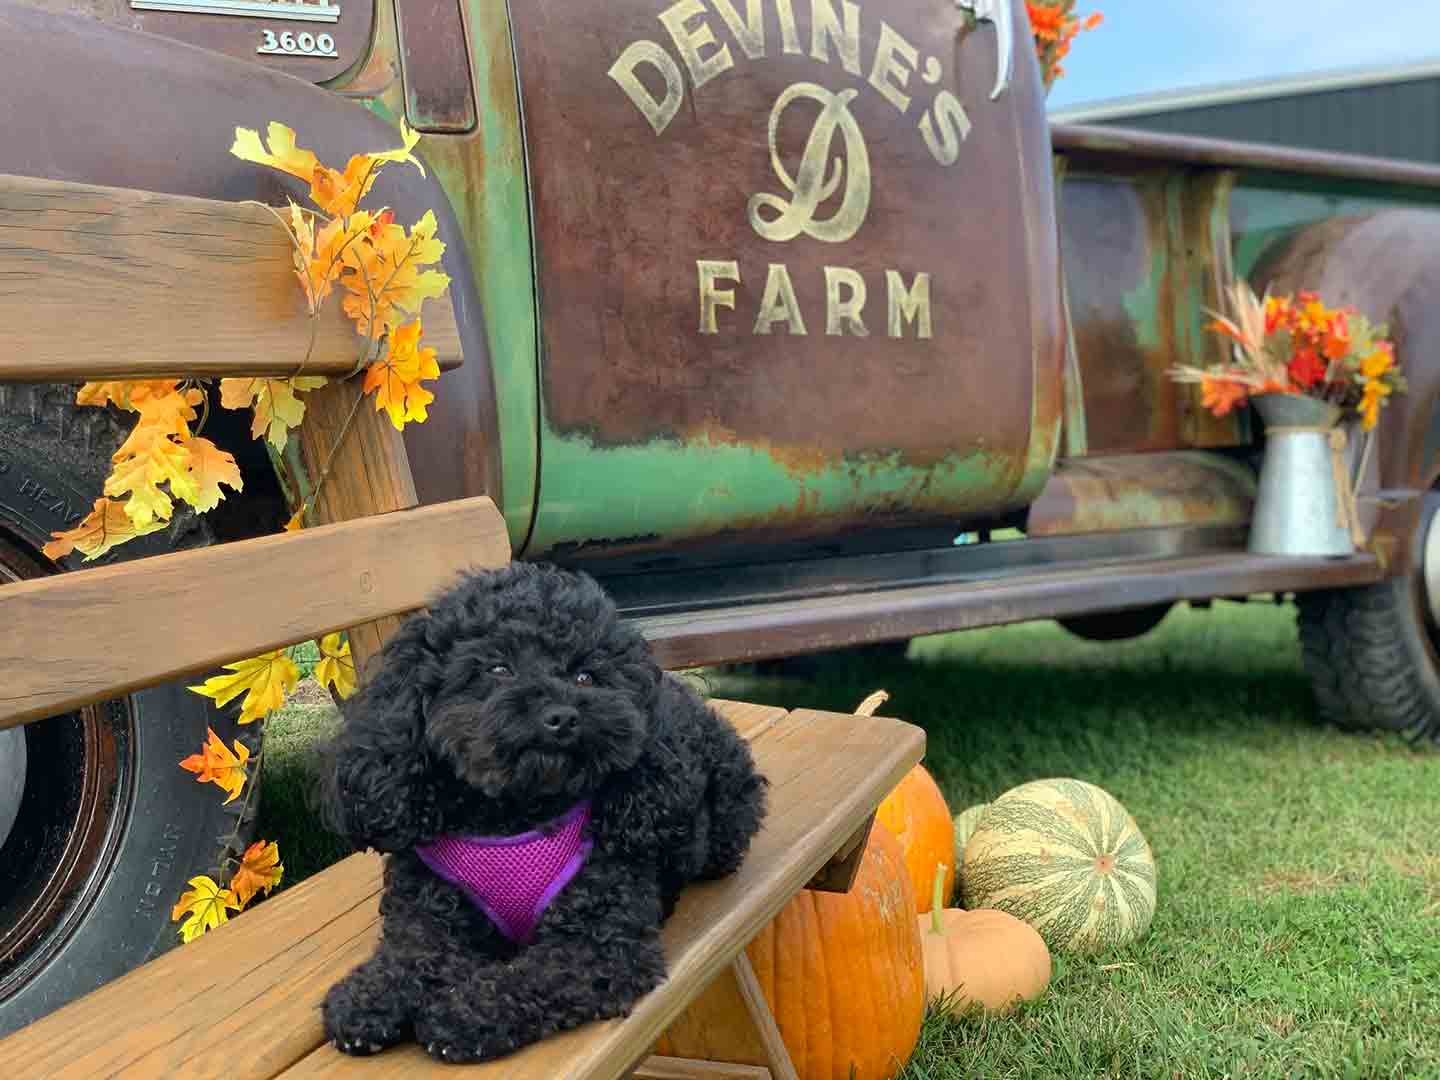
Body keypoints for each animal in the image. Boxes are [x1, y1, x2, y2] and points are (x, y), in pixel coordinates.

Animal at [315, 567, 766, 1065]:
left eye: (586, 675)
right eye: (497, 668)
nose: (561, 716)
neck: (514, 817)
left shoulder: (598, 948)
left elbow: (527, 978)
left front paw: (461, 1012)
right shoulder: (428, 908)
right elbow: (411, 951)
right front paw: (369, 997)